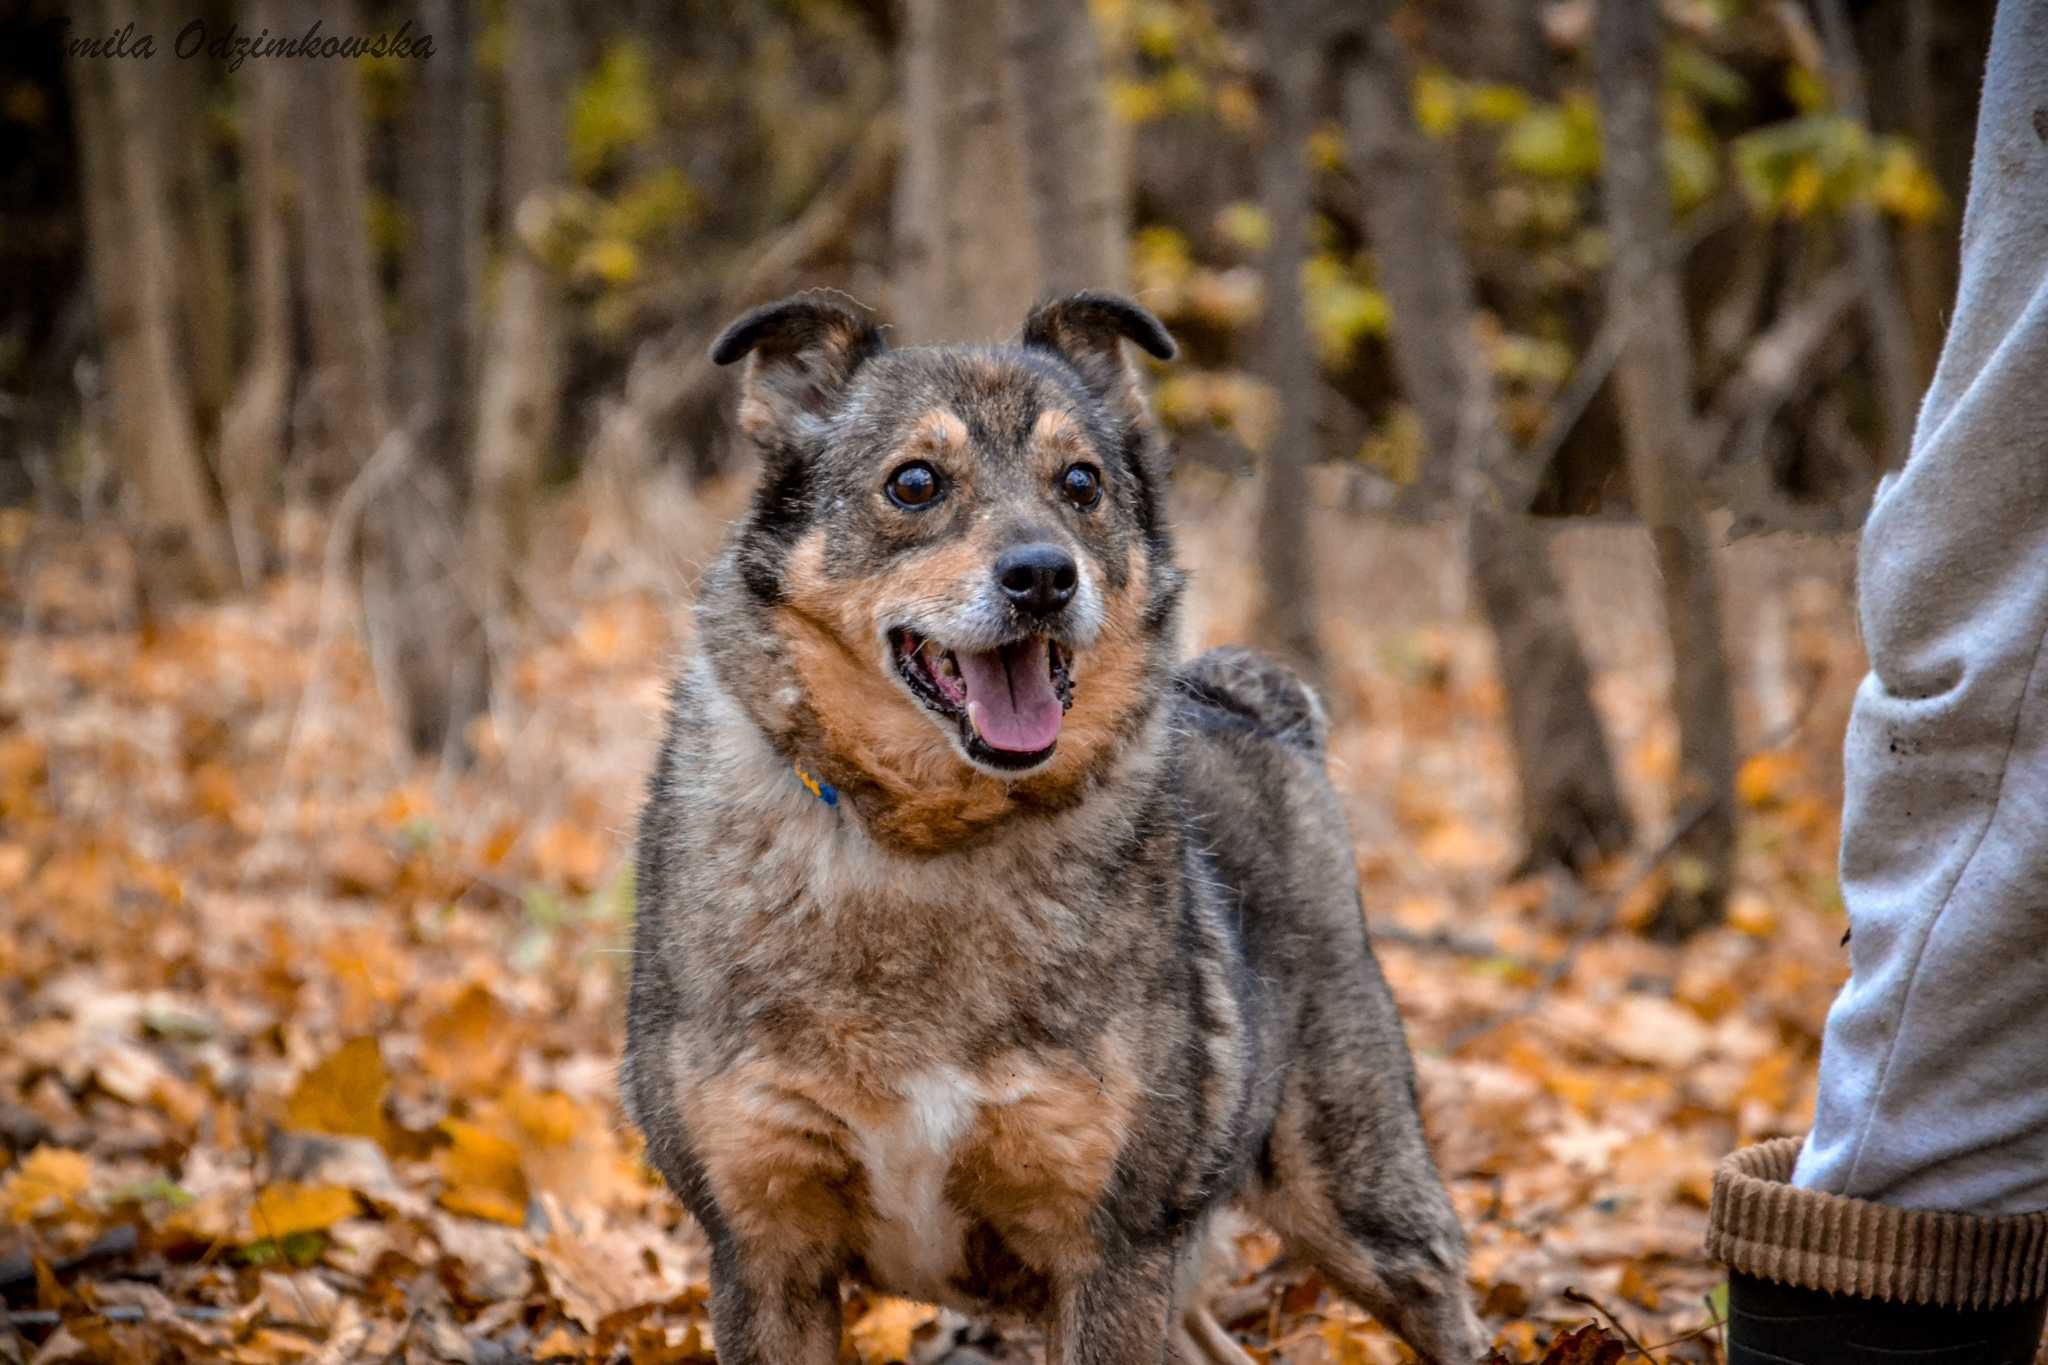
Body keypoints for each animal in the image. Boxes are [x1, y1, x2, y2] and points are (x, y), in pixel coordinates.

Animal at [614, 294, 1482, 1358]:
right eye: (914, 482)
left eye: (1082, 482)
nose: (1042, 576)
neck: (928, 839)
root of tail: (1256, 707)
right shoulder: (765, 1244)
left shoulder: (1108, 1246)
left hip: (1360, 1194)